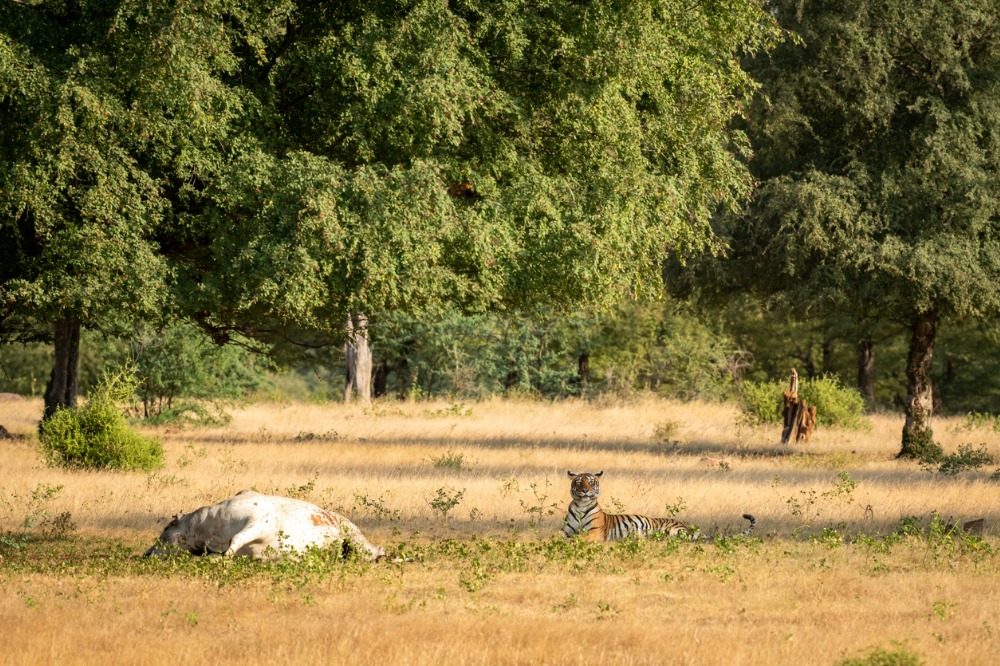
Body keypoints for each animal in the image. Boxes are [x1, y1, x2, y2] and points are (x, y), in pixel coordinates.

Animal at [564, 470, 756, 544]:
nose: (585, 491)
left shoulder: (595, 533)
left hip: (675, 531)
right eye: (579, 482)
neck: (581, 506)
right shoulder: (566, 531)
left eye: (591, 482)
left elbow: (579, 537)